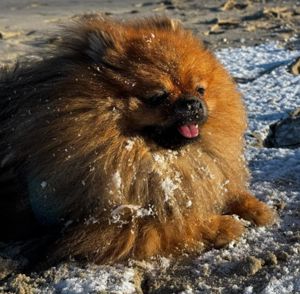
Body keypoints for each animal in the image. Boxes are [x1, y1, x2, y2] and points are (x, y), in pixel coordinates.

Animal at [0, 14, 276, 266]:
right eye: (158, 96)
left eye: (200, 90)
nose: (192, 104)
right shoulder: (115, 226)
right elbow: (179, 224)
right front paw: (223, 225)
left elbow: (222, 191)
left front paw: (254, 207)